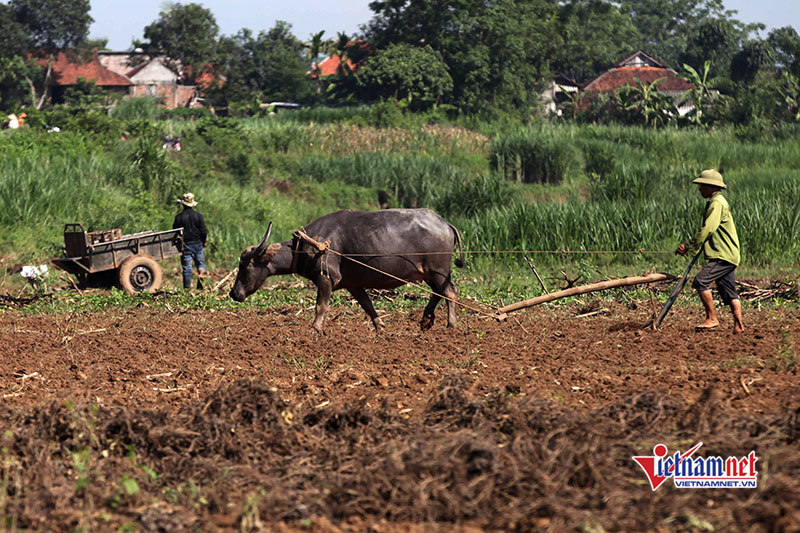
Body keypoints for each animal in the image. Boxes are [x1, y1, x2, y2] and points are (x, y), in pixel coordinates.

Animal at [228, 209, 466, 330]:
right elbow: (368, 306)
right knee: (439, 292)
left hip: (438, 270)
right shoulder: (353, 285)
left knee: (449, 291)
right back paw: (426, 320)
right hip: (430, 273)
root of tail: (444, 223)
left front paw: (315, 329)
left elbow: (320, 307)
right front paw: (381, 328)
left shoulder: (326, 279)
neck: (307, 246)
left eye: (244, 265)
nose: (233, 293)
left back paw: (451, 324)